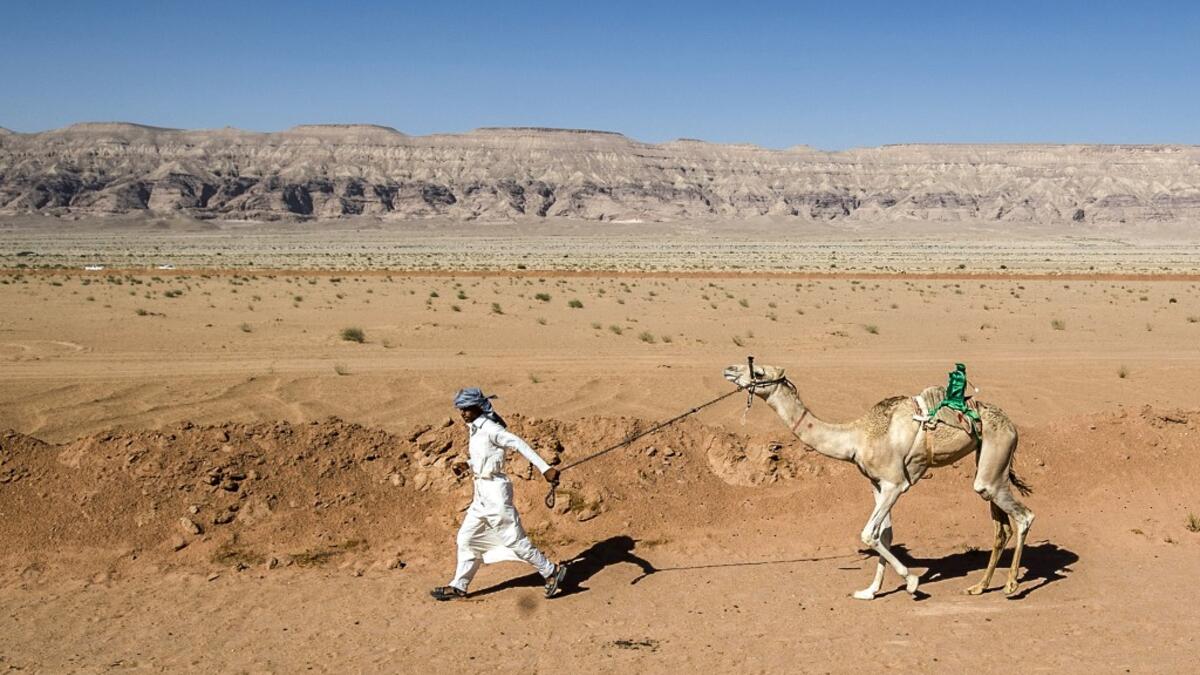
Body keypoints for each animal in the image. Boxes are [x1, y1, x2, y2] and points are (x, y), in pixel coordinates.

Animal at [723, 362, 1034, 600]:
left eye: (758, 371)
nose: (729, 369)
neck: (856, 437)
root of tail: (1011, 424)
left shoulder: (895, 484)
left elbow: (868, 534)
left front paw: (912, 582)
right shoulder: (877, 485)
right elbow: (884, 534)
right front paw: (869, 591)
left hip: (997, 451)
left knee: (1024, 516)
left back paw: (1011, 585)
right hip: (988, 463)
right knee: (1001, 526)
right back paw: (979, 587)